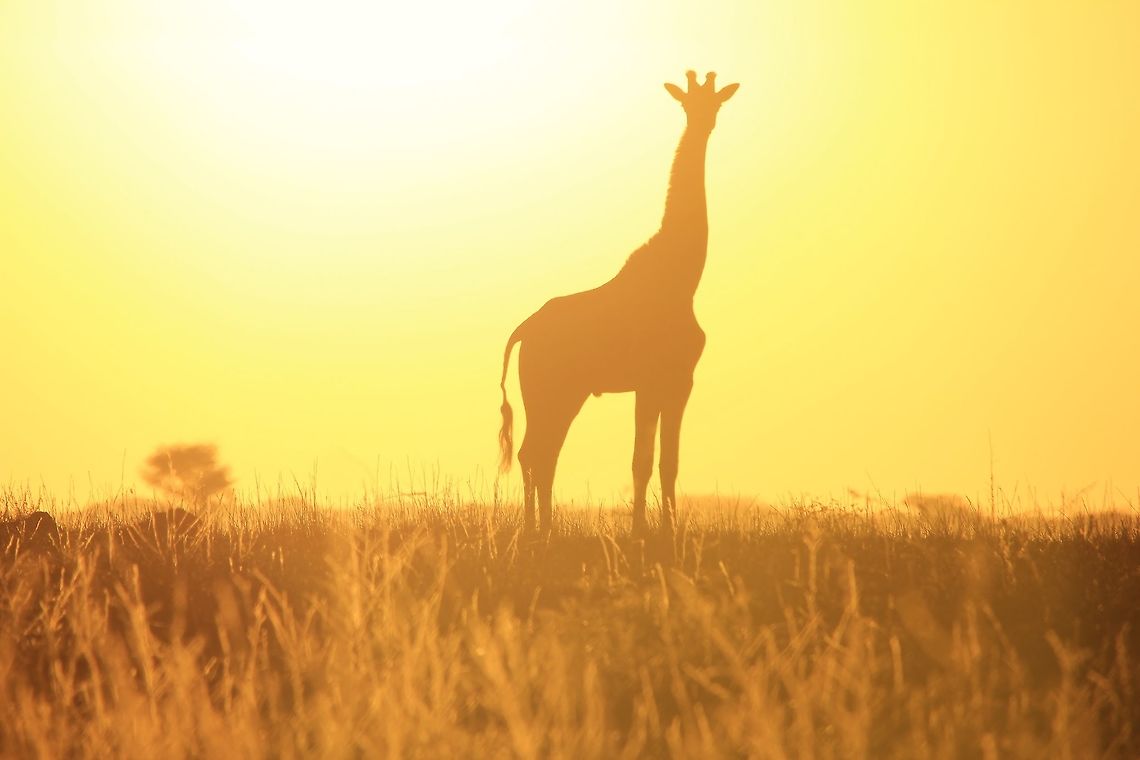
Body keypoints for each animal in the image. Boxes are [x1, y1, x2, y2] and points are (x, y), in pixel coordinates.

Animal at [498, 70, 739, 536]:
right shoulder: (658, 380)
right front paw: (648, 530)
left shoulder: (672, 381)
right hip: (552, 389)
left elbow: (664, 461)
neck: (682, 278)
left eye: (716, 102)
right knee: (536, 452)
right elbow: (646, 460)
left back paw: (543, 526)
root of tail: (522, 331)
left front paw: (660, 528)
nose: (705, 123)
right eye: (687, 103)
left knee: (539, 452)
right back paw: (538, 528)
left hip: (558, 392)